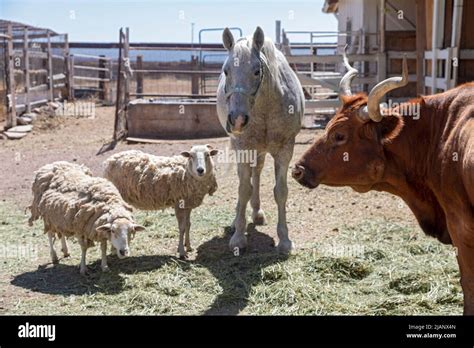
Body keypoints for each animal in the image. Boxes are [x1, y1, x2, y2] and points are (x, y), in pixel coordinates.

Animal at [218, 25, 306, 253]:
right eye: (226, 71)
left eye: (257, 71)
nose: (237, 120)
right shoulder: (243, 147)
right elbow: (243, 189)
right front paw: (238, 237)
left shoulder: (285, 149)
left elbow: (280, 191)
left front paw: (285, 240)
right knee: (247, 179)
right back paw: (238, 220)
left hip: (261, 150)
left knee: (256, 173)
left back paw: (257, 213)